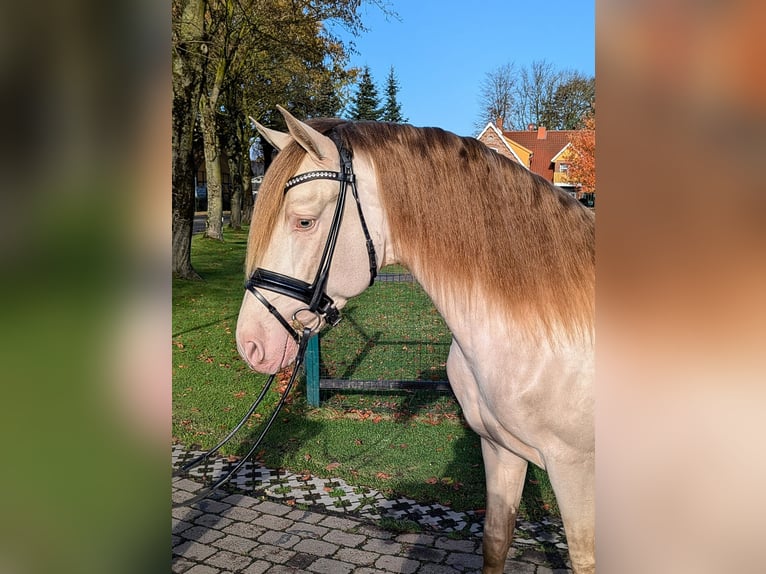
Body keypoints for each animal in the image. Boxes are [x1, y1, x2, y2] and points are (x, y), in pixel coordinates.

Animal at [237, 106, 596, 572]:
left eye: (304, 221)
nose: (250, 344)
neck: (542, 326)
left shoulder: (575, 471)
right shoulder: (501, 450)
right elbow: (496, 540)